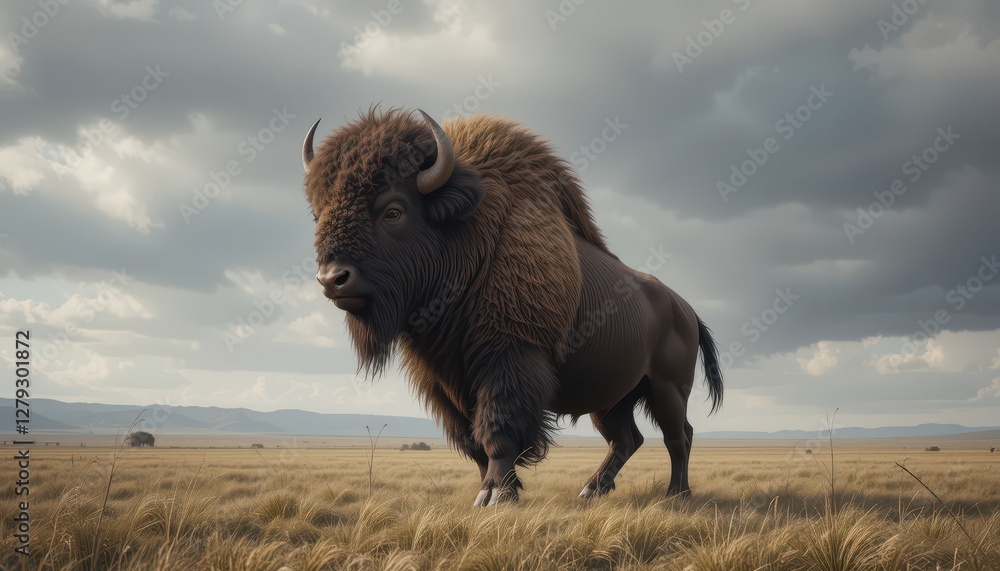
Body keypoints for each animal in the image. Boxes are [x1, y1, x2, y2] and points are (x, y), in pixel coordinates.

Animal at [301, 108, 723, 505]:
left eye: (393, 210)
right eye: (318, 213)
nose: (332, 279)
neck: (469, 238)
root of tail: (686, 310)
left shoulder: (509, 360)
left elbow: (497, 429)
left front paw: (494, 495)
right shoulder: (443, 384)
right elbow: (473, 442)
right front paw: (500, 489)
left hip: (667, 389)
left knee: (678, 436)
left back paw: (677, 494)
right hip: (612, 397)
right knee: (627, 438)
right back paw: (592, 489)